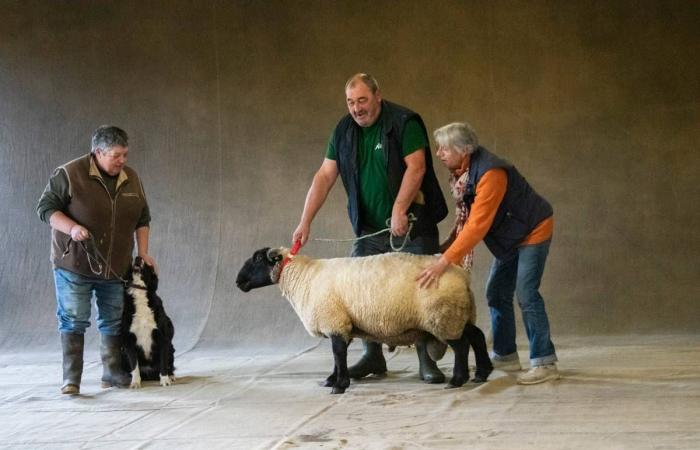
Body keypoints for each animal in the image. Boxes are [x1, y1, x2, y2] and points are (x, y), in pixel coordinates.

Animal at [121, 256, 175, 386]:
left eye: (148, 264)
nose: (138, 257)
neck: (139, 293)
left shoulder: (163, 336)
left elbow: (163, 362)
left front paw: (165, 380)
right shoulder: (128, 339)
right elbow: (134, 364)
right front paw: (135, 382)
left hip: (171, 348)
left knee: (169, 364)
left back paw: (171, 376)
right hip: (122, 353)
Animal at [235, 246, 492, 394]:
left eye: (257, 259)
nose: (238, 282)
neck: (302, 276)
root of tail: (462, 275)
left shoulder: (334, 321)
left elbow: (338, 354)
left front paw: (339, 385)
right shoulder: (341, 323)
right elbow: (338, 356)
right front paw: (332, 379)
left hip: (443, 317)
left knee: (462, 346)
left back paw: (457, 380)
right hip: (457, 315)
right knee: (477, 336)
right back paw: (482, 373)